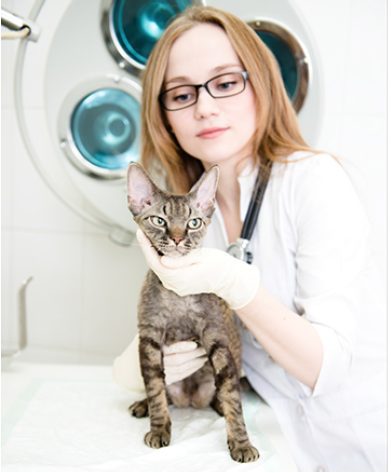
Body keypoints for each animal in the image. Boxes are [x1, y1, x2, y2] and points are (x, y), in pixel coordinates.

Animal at [126, 161, 260, 460]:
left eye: (194, 223)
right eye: (159, 220)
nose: (177, 239)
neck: (178, 296)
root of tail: (190, 399)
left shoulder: (217, 340)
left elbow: (232, 396)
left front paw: (241, 442)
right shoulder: (149, 338)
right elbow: (155, 387)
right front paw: (159, 427)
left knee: (223, 393)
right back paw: (143, 404)